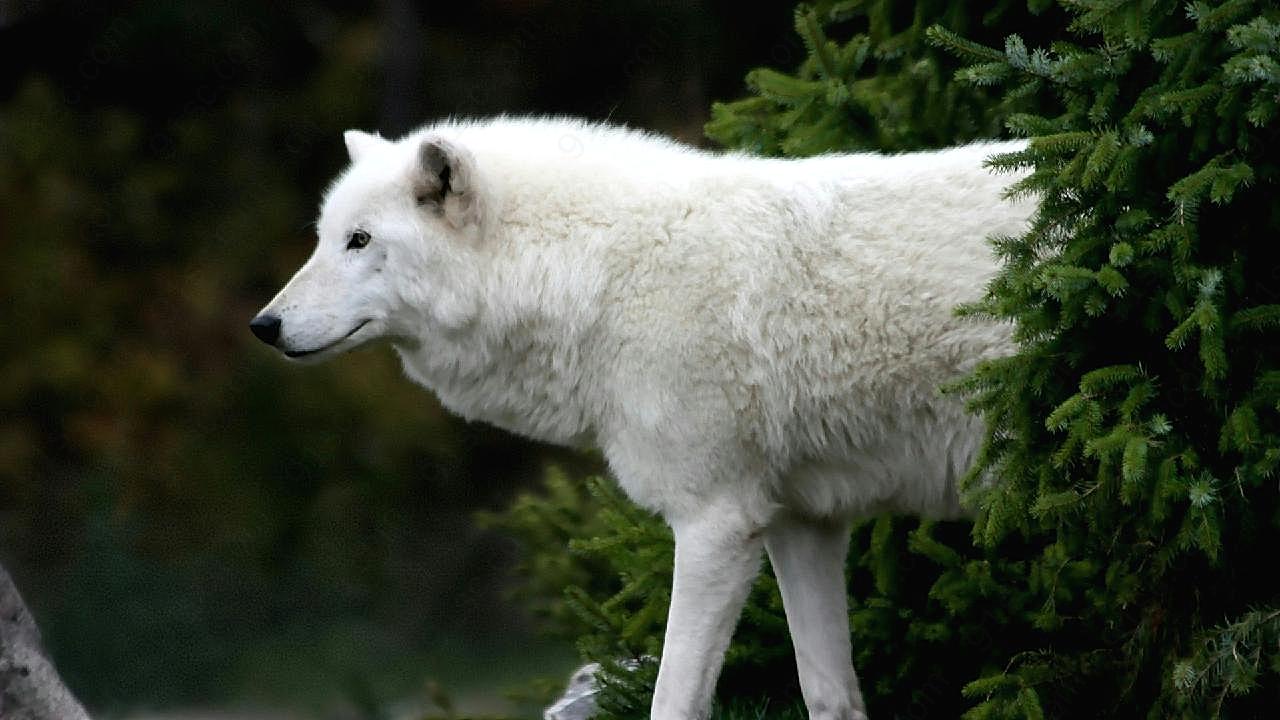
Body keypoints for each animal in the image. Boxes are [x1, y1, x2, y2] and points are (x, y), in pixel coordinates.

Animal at [247, 117, 1029, 717]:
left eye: (360, 241)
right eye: (324, 238)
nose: (263, 325)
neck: (598, 276)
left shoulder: (715, 523)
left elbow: (672, 699)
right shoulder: (800, 523)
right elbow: (828, 694)